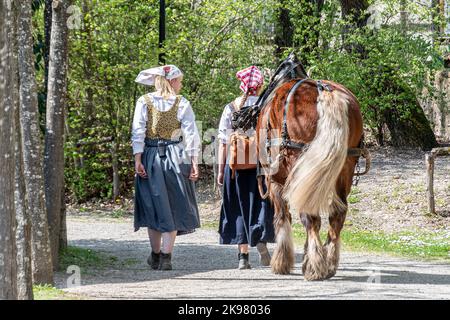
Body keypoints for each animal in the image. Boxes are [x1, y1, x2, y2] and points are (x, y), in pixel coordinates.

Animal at [255, 69, 368, 282]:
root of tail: (325, 91)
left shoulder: (276, 181)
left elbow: (282, 217)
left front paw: (282, 261)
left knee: (309, 216)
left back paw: (314, 265)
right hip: (345, 166)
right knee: (337, 214)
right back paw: (328, 261)